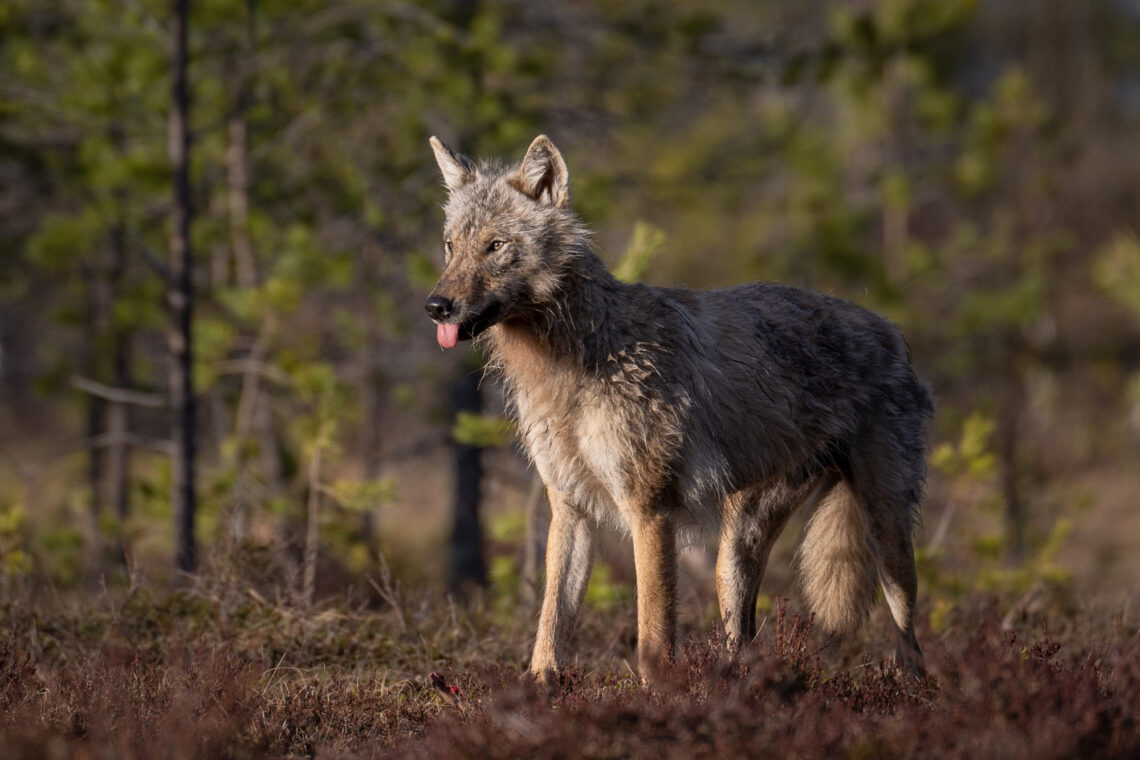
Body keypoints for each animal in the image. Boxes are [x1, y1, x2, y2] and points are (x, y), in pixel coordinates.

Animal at [424, 133, 930, 679]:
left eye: (495, 246)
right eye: (450, 246)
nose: (435, 306)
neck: (574, 361)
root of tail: (891, 332)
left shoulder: (650, 512)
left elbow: (652, 633)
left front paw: (659, 696)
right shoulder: (570, 510)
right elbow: (549, 627)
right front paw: (538, 688)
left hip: (888, 536)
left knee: (909, 635)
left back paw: (912, 689)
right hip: (735, 552)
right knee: (742, 634)